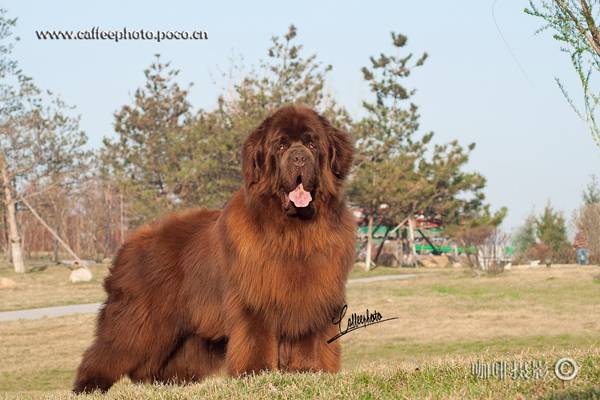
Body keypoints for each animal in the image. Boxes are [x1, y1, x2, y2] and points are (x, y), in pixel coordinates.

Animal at [75, 104, 356, 394]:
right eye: (280, 146)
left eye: (312, 144)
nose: (299, 158)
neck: (294, 233)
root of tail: (130, 241)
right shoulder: (254, 299)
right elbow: (255, 339)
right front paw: (256, 373)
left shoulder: (313, 297)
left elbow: (308, 337)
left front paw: (309, 371)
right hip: (137, 319)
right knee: (109, 349)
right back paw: (89, 386)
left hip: (184, 332)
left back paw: (168, 383)